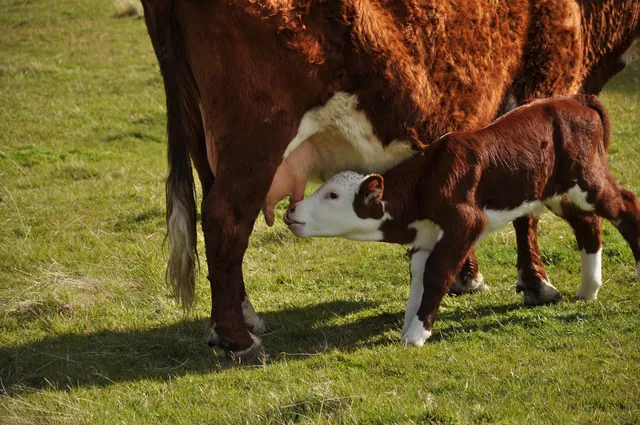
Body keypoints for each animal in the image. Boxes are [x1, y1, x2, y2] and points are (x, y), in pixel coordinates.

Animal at [284, 94, 640, 345]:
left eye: (332, 195)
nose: (291, 211)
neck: (426, 181)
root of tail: (575, 99)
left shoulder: (466, 221)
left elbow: (438, 273)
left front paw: (417, 334)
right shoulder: (428, 235)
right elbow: (418, 275)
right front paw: (409, 324)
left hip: (588, 178)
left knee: (626, 206)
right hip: (555, 191)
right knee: (588, 224)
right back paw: (588, 290)